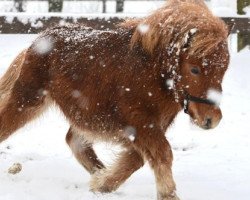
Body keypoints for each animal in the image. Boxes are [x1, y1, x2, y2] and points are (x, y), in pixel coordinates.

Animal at [0, 0, 230, 200]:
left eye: (224, 70)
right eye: (195, 69)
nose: (212, 119)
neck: (152, 72)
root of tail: (38, 40)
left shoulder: (148, 127)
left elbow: (137, 160)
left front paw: (103, 183)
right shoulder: (140, 122)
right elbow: (162, 154)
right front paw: (168, 195)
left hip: (84, 112)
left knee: (74, 140)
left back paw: (98, 172)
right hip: (28, 100)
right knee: (7, 125)